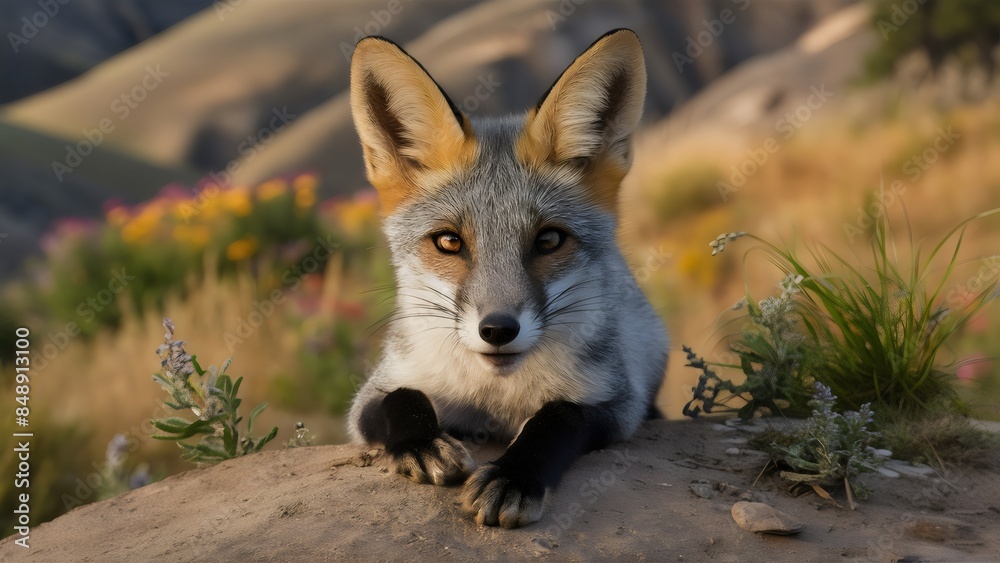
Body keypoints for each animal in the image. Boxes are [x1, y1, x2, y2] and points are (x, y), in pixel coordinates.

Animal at [346, 28, 668, 529]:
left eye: (549, 240)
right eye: (448, 242)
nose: (498, 330)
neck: (496, 401)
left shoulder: (618, 402)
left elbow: (558, 416)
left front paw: (514, 475)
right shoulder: (369, 398)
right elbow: (402, 396)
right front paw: (421, 443)